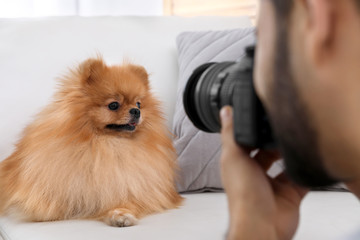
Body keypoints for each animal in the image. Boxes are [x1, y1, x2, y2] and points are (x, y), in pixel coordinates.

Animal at [0, 58, 183, 227]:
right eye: (113, 105)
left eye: (138, 103)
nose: (136, 111)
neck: (109, 144)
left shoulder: (132, 187)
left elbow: (127, 201)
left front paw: (121, 214)